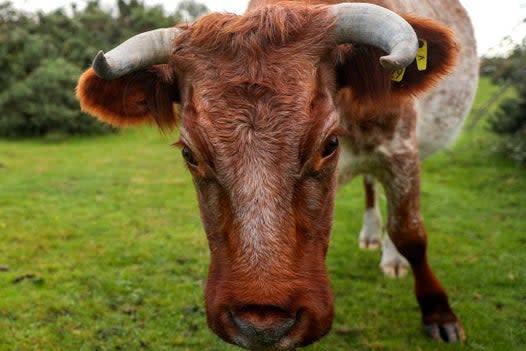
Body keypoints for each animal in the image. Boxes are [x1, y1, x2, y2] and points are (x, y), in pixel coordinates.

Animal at [77, 1, 478, 350]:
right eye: (189, 154)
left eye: (329, 144)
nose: (262, 324)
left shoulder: (402, 151)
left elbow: (410, 233)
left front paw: (439, 314)